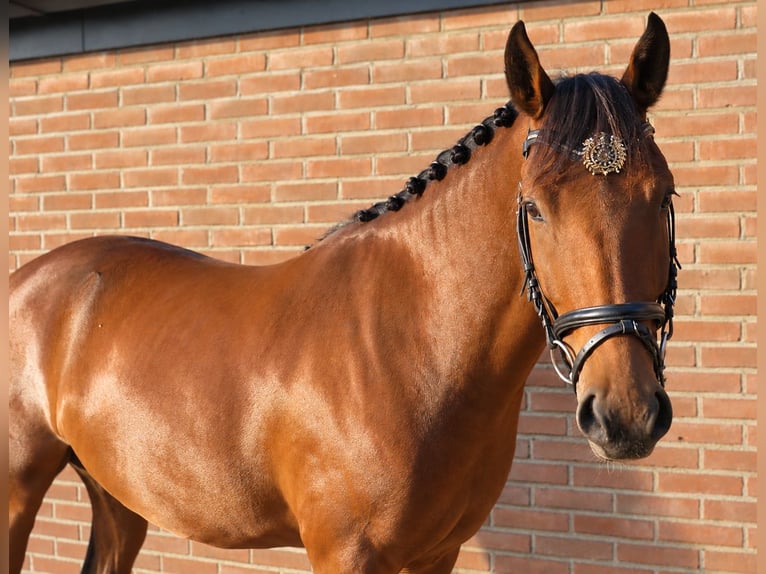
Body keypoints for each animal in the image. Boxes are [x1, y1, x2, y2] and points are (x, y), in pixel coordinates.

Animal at [10, 12, 678, 574]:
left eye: (665, 195)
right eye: (536, 208)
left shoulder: (438, 553)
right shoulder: (346, 554)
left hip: (118, 497)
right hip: (15, 492)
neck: (411, 349)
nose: (625, 415)